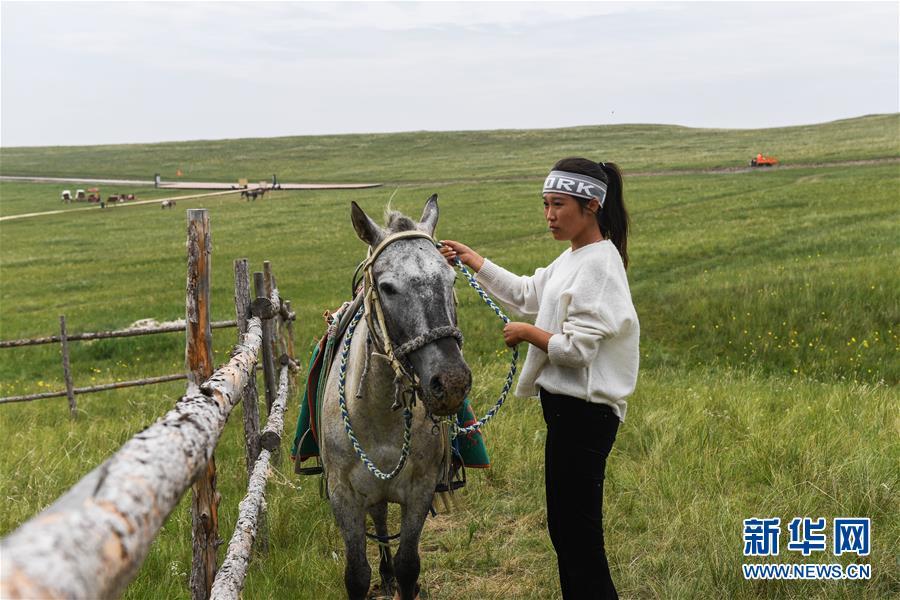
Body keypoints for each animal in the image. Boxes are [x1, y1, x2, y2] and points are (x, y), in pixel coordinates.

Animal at [320, 197, 472, 600]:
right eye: (387, 287)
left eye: (451, 279)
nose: (451, 382)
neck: (379, 418)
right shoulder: (344, 496)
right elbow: (357, 574)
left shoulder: (420, 490)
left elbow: (408, 565)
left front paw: (404, 579)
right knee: (379, 517)